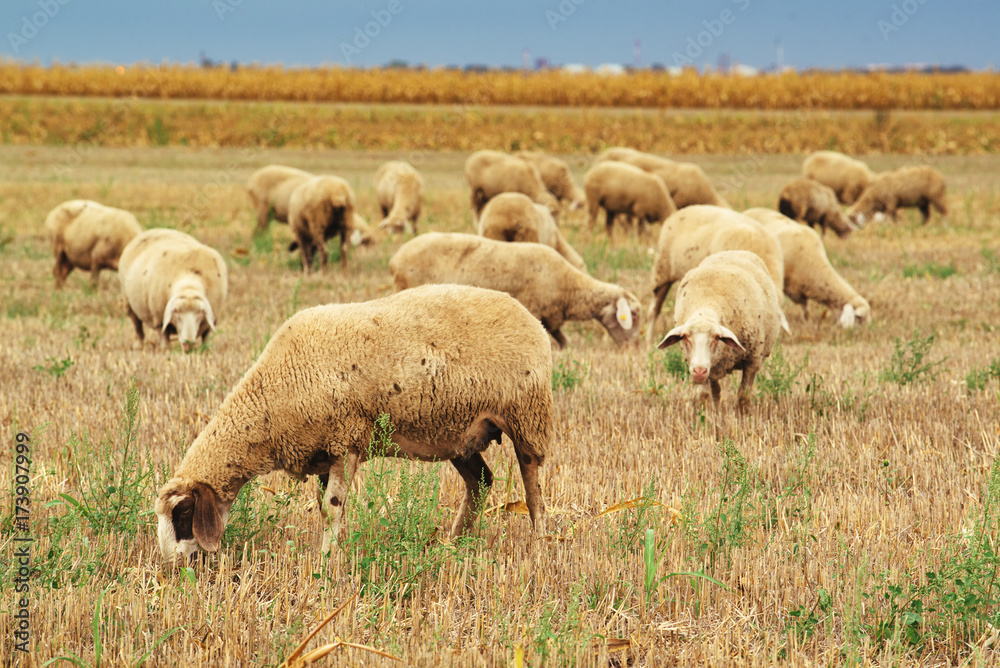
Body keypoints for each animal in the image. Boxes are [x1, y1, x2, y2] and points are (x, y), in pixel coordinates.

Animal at [154, 283, 553, 563]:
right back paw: (454, 544)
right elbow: (327, 506)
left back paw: (540, 545)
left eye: (184, 511)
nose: (174, 565)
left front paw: (326, 562)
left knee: (533, 490)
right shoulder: (323, 452)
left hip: (527, 416)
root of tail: (527, 315)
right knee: (481, 482)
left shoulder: (345, 440)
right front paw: (335, 552)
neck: (269, 399)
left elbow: (331, 506)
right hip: (461, 433)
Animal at [389, 233, 640, 349]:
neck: (569, 288)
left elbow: (563, 340)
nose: (633, 349)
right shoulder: (536, 312)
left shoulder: (552, 318)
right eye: (634, 315)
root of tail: (396, 258)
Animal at [657, 250, 783, 413]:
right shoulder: (705, 369)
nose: (699, 371)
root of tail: (734, 251)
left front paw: (744, 414)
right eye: (685, 338)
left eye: (716, 338)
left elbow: (743, 396)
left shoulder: (753, 361)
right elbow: (704, 396)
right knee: (716, 390)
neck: (706, 306)